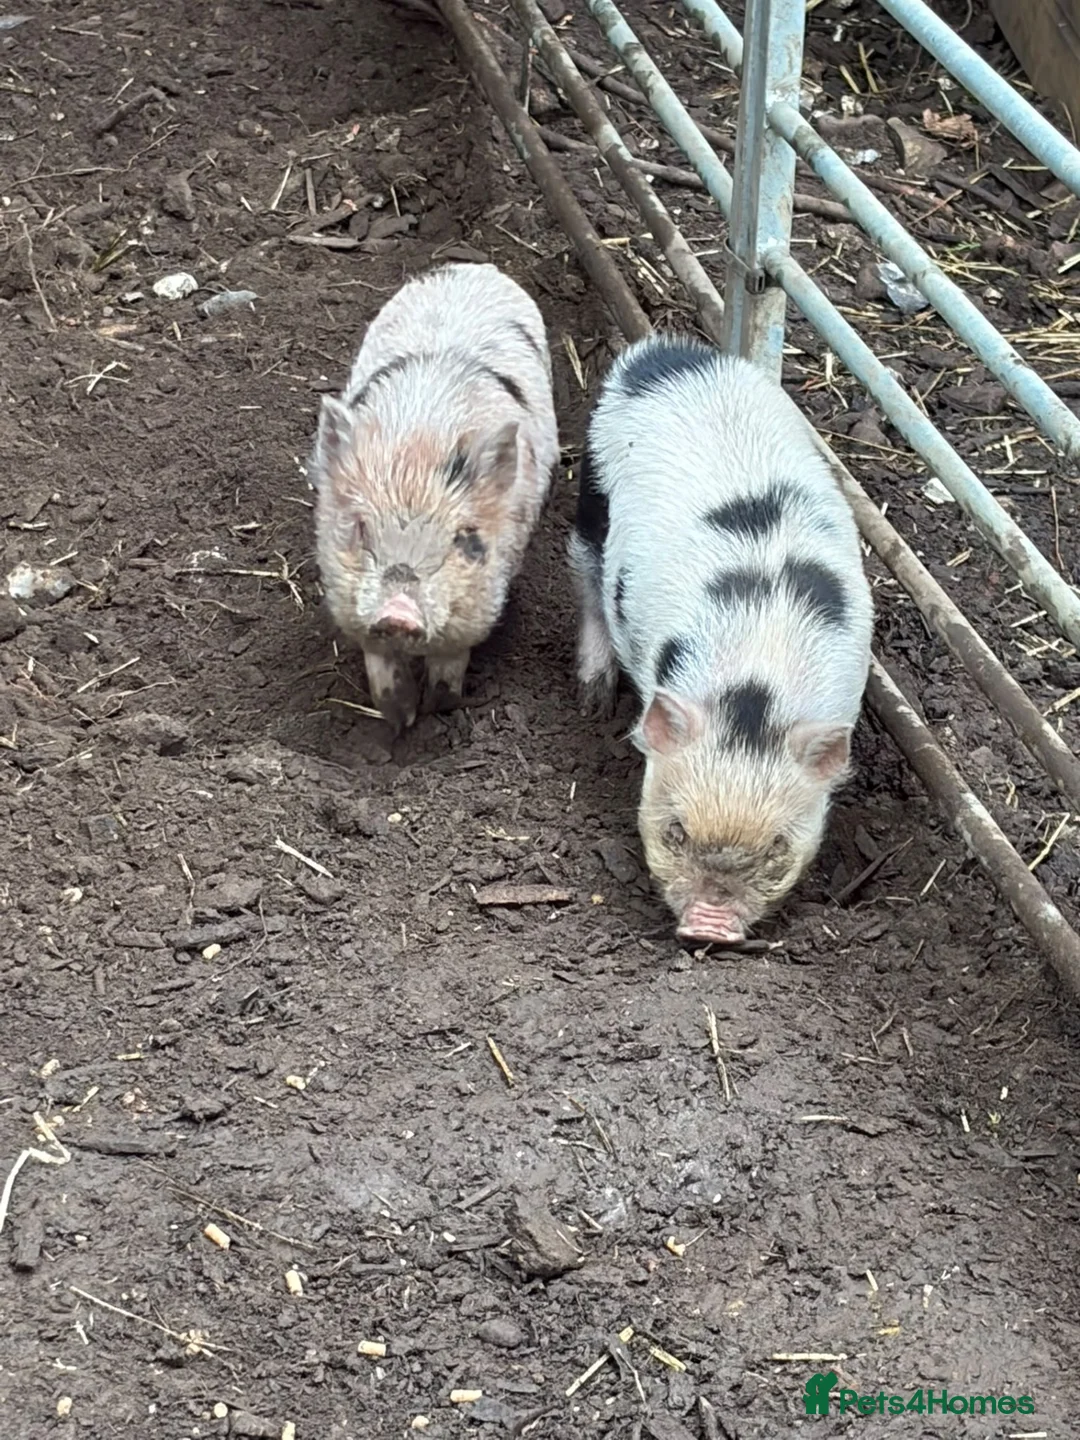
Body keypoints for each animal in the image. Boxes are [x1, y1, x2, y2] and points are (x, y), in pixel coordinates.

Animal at [311, 262, 559, 731]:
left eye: (462, 537)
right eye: (360, 528)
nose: (398, 613)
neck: (419, 445)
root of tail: (477, 267)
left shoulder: (478, 604)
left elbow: (450, 664)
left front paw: (438, 712)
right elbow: (380, 668)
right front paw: (399, 720)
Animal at [568, 335, 873, 946]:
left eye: (778, 845)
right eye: (676, 831)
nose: (708, 928)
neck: (758, 685)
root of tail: (665, 353)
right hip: (593, 490)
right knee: (587, 576)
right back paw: (593, 697)